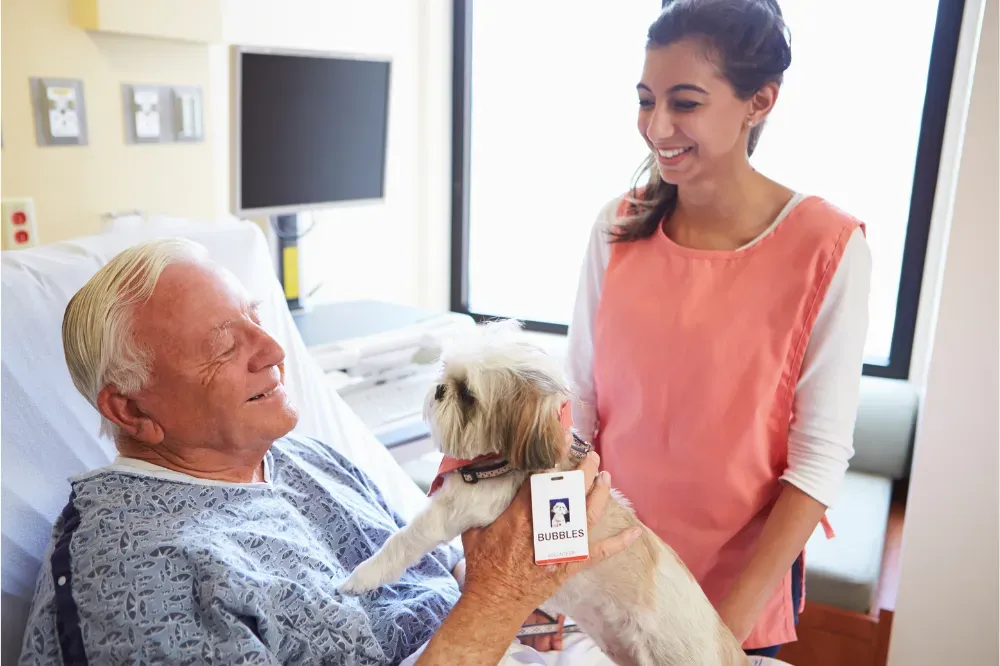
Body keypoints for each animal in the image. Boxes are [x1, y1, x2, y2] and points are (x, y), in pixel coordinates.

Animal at [340, 320, 748, 660]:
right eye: (444, 373)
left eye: (467, 394)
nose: (439, 389)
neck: (500, 464)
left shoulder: (454, 510)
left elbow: (403, 541)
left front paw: (361, 577)